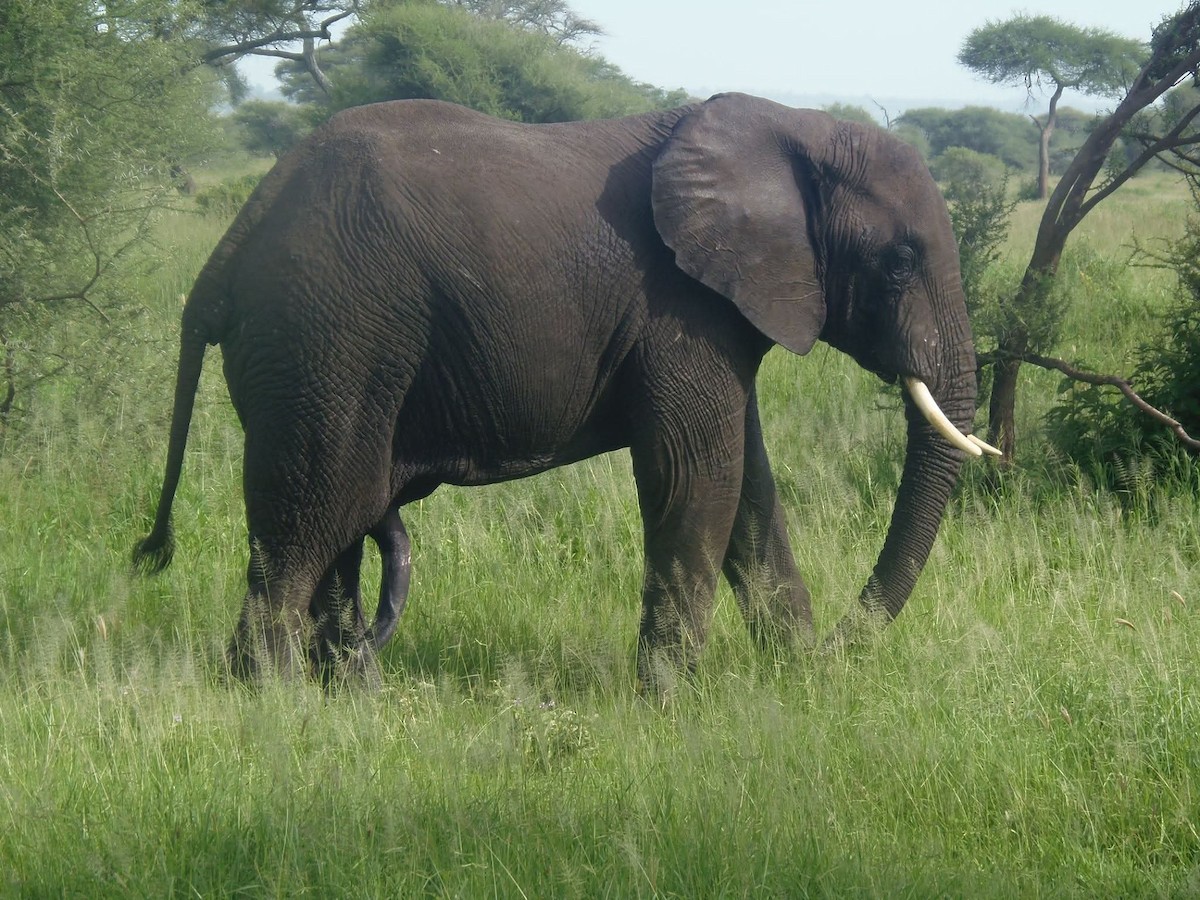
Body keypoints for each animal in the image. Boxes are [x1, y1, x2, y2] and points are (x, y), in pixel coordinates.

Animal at [134, 92, 999, 690]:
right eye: (899, 262)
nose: (842, 649)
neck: (792, 126)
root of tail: (228, 249)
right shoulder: (679, 307)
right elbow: (698, 477)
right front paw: (672, 702)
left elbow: (750, 490)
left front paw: (792, 677)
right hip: (328, 335)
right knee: (310, 522)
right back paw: (275, 703)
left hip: (320, 350)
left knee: (334, 528)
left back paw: (346, 692)